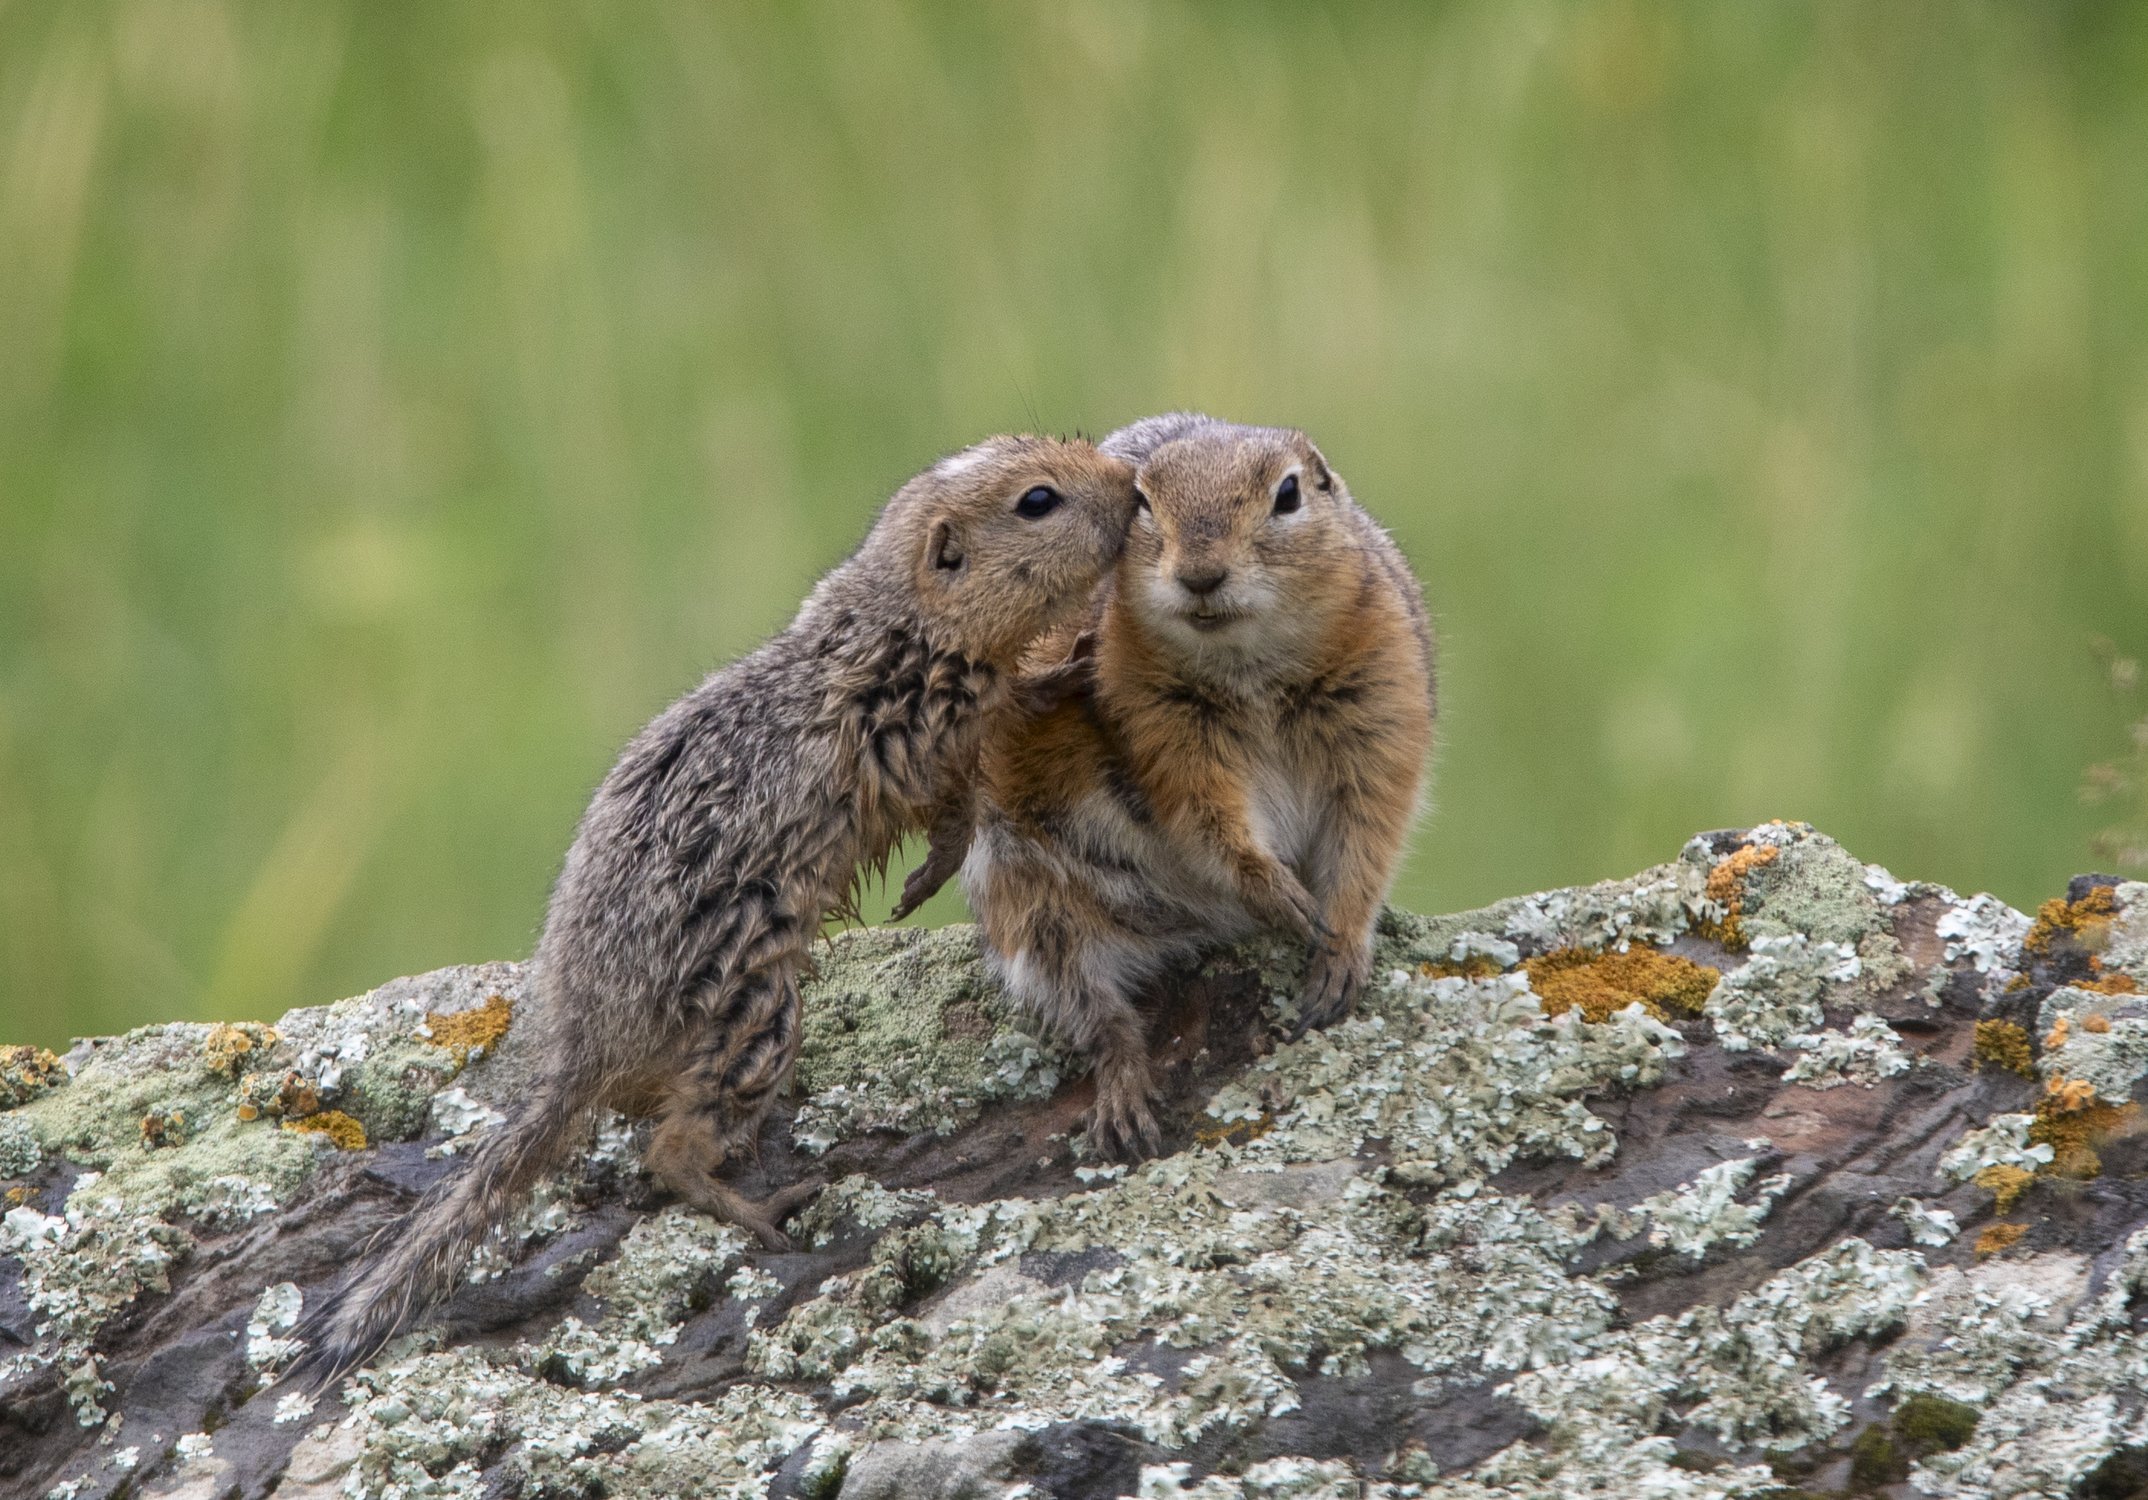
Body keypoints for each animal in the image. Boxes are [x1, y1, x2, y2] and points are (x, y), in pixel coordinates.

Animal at [298, 436, 1159, 1375]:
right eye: (1038, 500)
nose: (1131, 484)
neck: (898, 622)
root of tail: (581, 1046)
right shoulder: (927, 721)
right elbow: (960, 786)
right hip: (757, 1014)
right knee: (668, 1153)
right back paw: (760, 1208)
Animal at [897, 414, 1434, 1151]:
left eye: (1289, 494)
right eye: (1144, 504)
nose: (1200, 575)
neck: (1248, 666)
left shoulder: (1380, 713)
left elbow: (1367, 842)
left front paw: (1339, 950)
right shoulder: (1164, 728)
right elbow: (1210, 822)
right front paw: (1282, 896)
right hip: (1031, 907)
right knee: (1096, 1014)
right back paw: (1125, 1099)